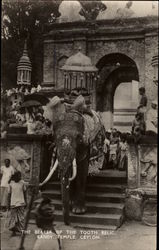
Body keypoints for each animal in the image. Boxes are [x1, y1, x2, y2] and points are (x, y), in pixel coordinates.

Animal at [39, 95, 105, 225]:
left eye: (79, 138)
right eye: (54, 137)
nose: (67, 223)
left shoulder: (85, 144)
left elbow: (81, 169)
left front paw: (78, 211)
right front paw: (70, 203)